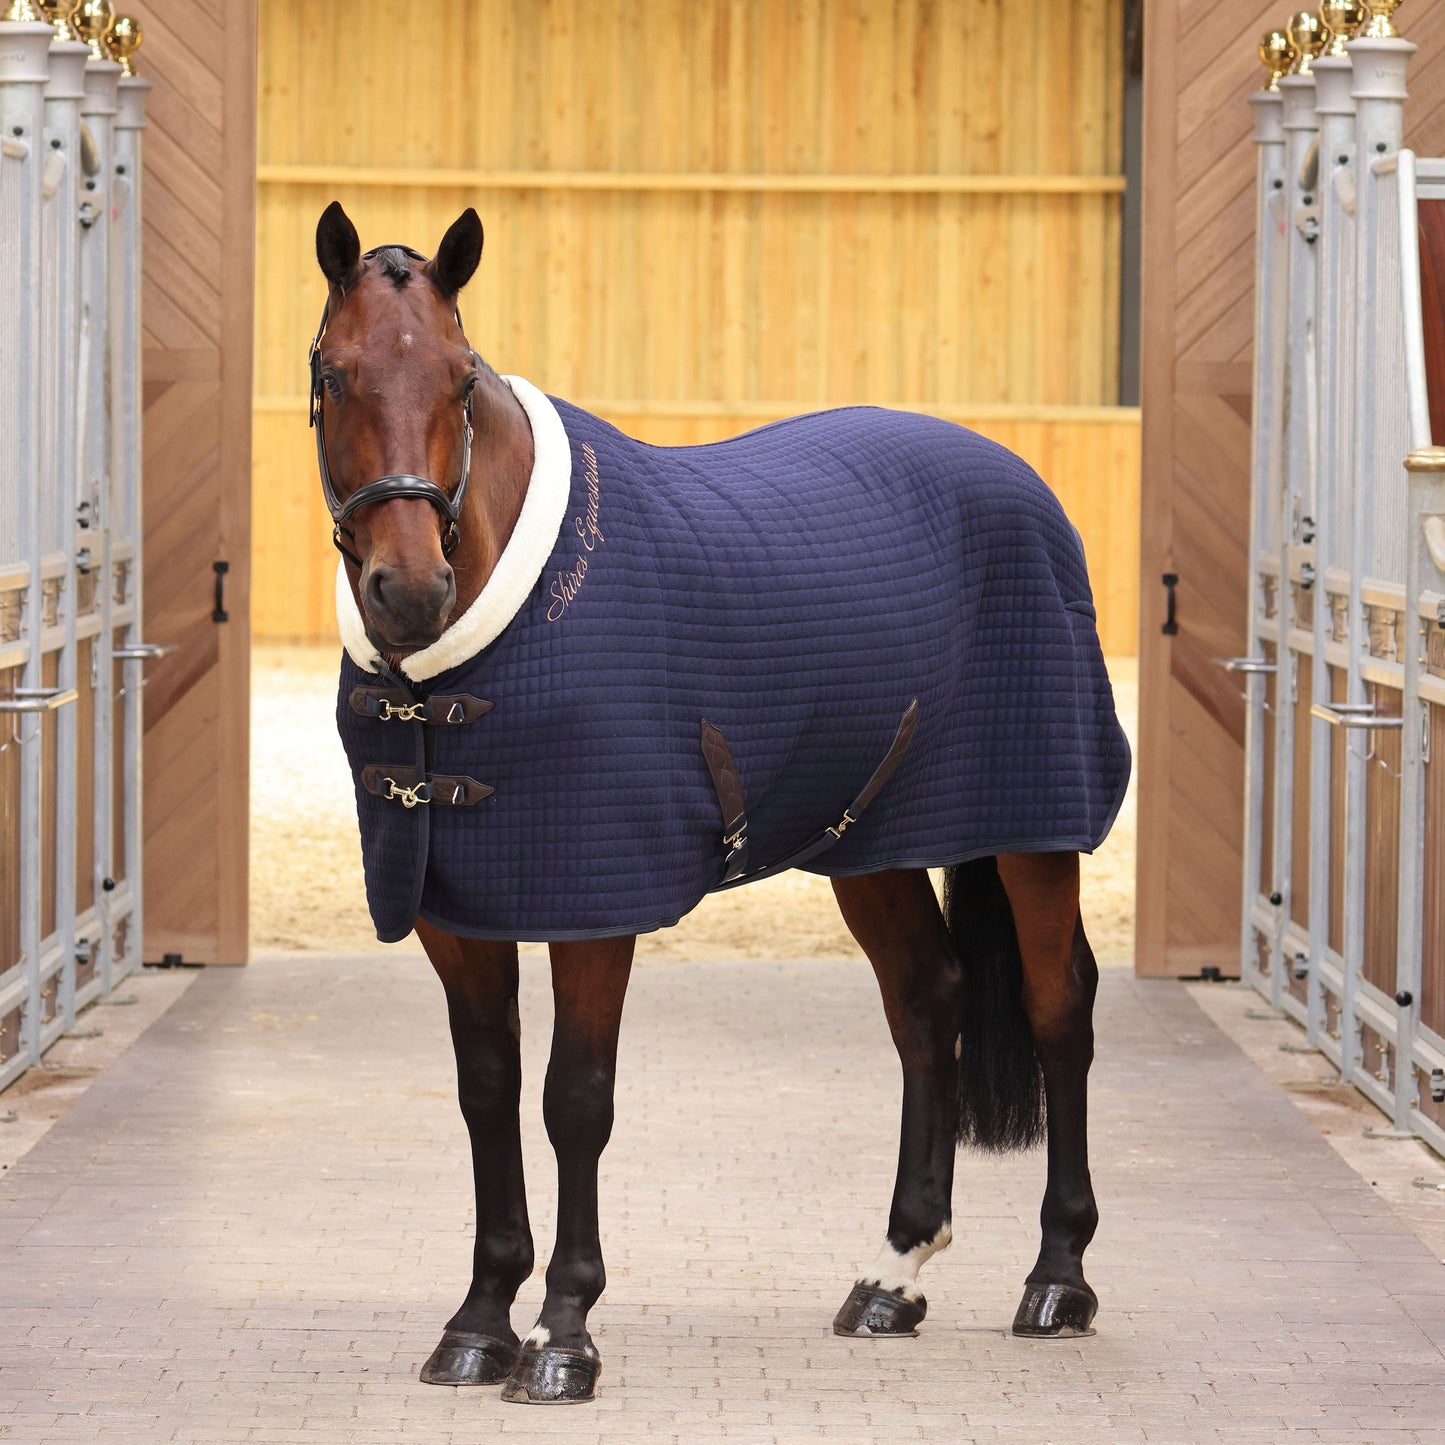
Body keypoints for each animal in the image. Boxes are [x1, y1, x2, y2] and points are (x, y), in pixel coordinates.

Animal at [308, 201, 1128, 1405]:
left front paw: (563, 1334)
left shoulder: (594, 904)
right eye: (335, 372)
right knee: (925, 1001)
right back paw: (891, 1274)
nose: (409, 591)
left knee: (1056, 1002)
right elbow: (487, 1091)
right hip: (868, 842)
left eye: (458, 378)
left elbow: (574, 1099)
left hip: (1031, 828)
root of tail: (1013, 476)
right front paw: (478, 1321)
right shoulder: (459, 911)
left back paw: (1057, 1277)